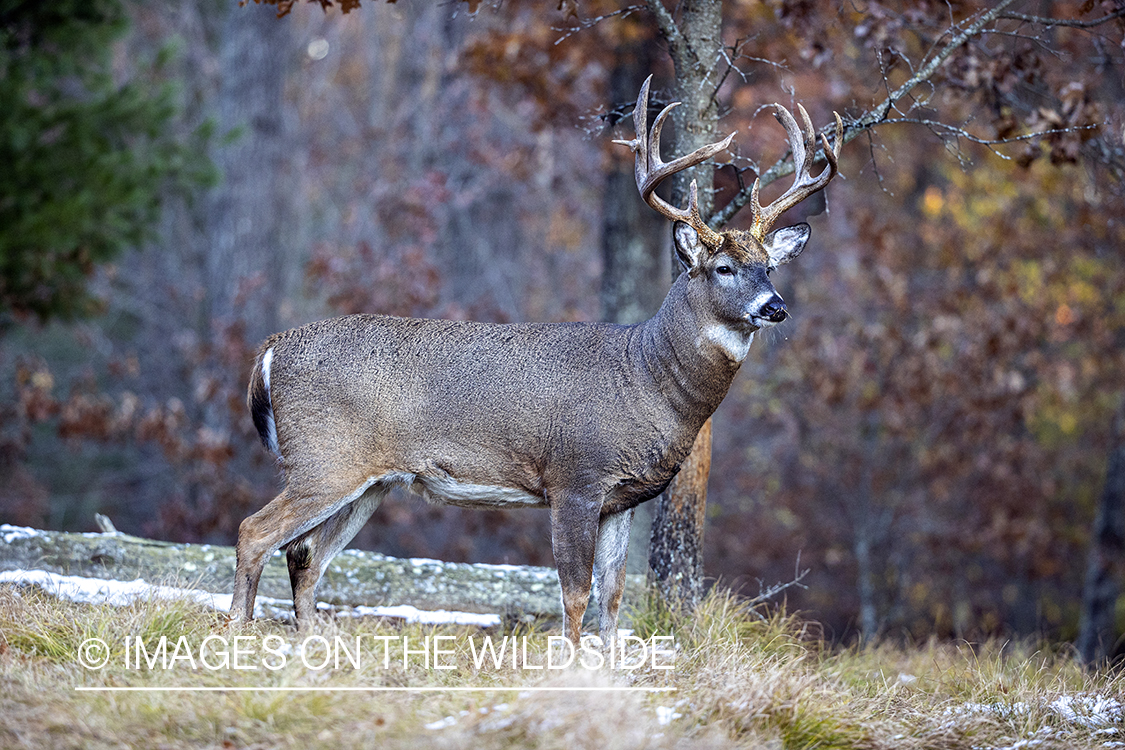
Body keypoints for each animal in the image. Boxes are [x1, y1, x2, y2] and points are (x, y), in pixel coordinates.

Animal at [230, 77, 846, 647]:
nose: (775, 307)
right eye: (723, 268)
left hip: (371, 480)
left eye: (770, 267)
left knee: (306, 553)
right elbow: (573, 594)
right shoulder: (574, 478)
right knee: (255, 531)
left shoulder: (621, 500)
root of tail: (272, 348)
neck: (647, 379)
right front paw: (571, 665)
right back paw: (237, 629)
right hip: (324, 459)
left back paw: (311, 640)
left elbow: (613, 598)